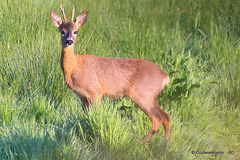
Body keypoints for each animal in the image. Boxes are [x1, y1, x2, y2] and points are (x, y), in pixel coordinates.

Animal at [50, 5, 171, 142]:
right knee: (166, 117)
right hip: (151, 96)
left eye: (75, 31)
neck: (74, 67)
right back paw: (165, 143)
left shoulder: (95, 91)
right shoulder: (82, 96)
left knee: (157, 119)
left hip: (142, 94)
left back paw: (143, 142)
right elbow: (85, 116)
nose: (69, 41)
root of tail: (165, 77)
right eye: (62, 31)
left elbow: (93, 115)